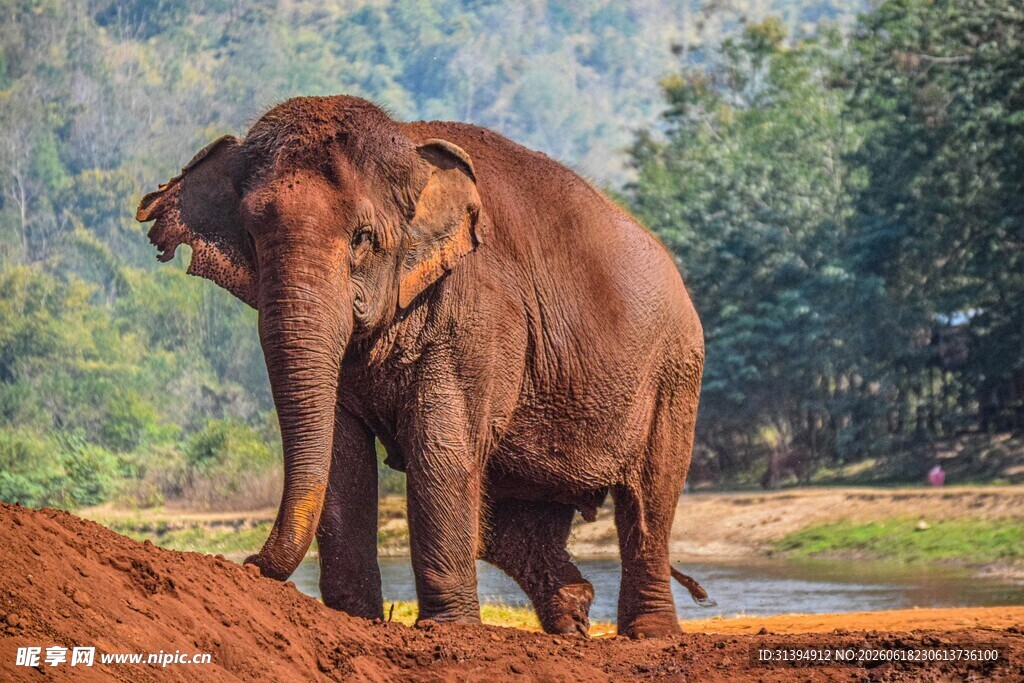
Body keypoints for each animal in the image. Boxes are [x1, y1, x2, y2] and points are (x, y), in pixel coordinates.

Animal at [136, 95, 709, 638]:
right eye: (251, 237)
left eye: (362, 239)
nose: (248, 563)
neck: (408, 145)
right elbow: (344, 456)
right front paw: (356, 618)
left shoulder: (480, 311)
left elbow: (440, 447)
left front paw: (448, 630)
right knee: (511, 522)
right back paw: (573, 616)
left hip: (675, 371)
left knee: (649, 500)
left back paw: (650, 633)